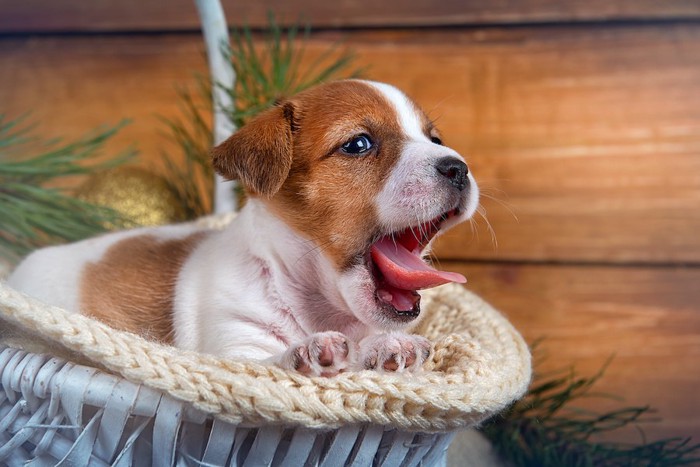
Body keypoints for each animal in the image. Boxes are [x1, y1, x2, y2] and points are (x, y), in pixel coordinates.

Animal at [5, 81, 478, 376]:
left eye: (435, 139)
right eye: (359, 144)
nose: (459, 167)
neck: (315, 308)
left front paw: (388, 347)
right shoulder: (234, 345)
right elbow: (263, 365)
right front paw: (303, 354)